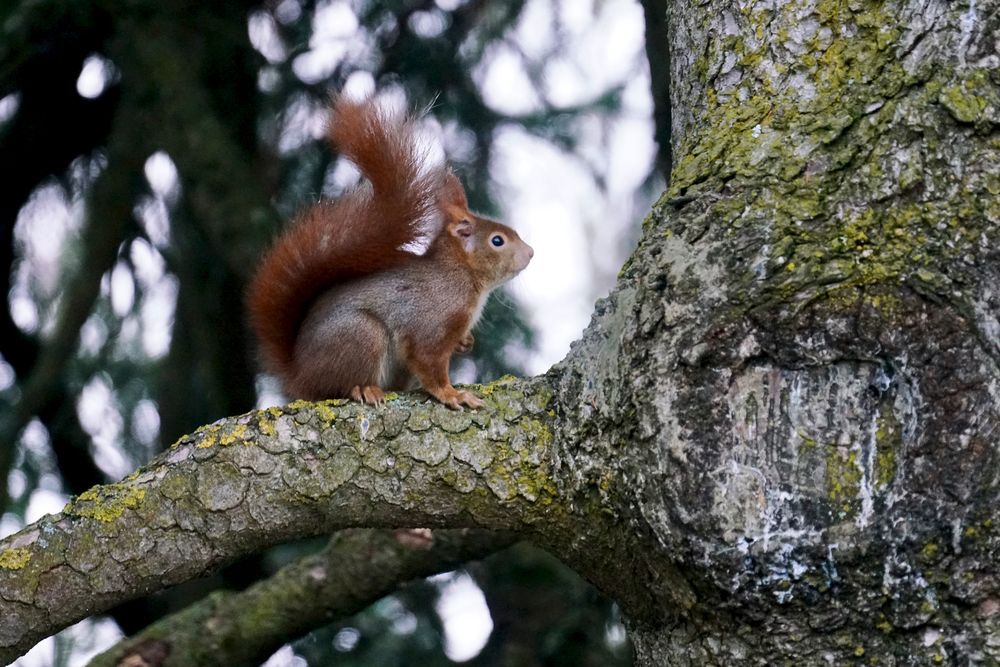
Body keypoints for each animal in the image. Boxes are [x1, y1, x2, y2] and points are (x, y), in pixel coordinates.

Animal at [247, 93, 536, 408]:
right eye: (497, 241)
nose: (531, 253)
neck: (461, 275)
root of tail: (298, 375)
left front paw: (466, 342)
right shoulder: (431, 323)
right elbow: (429, 364)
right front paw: (452, 394)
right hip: (362, 335)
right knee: (336, 387)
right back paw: (364, 389)